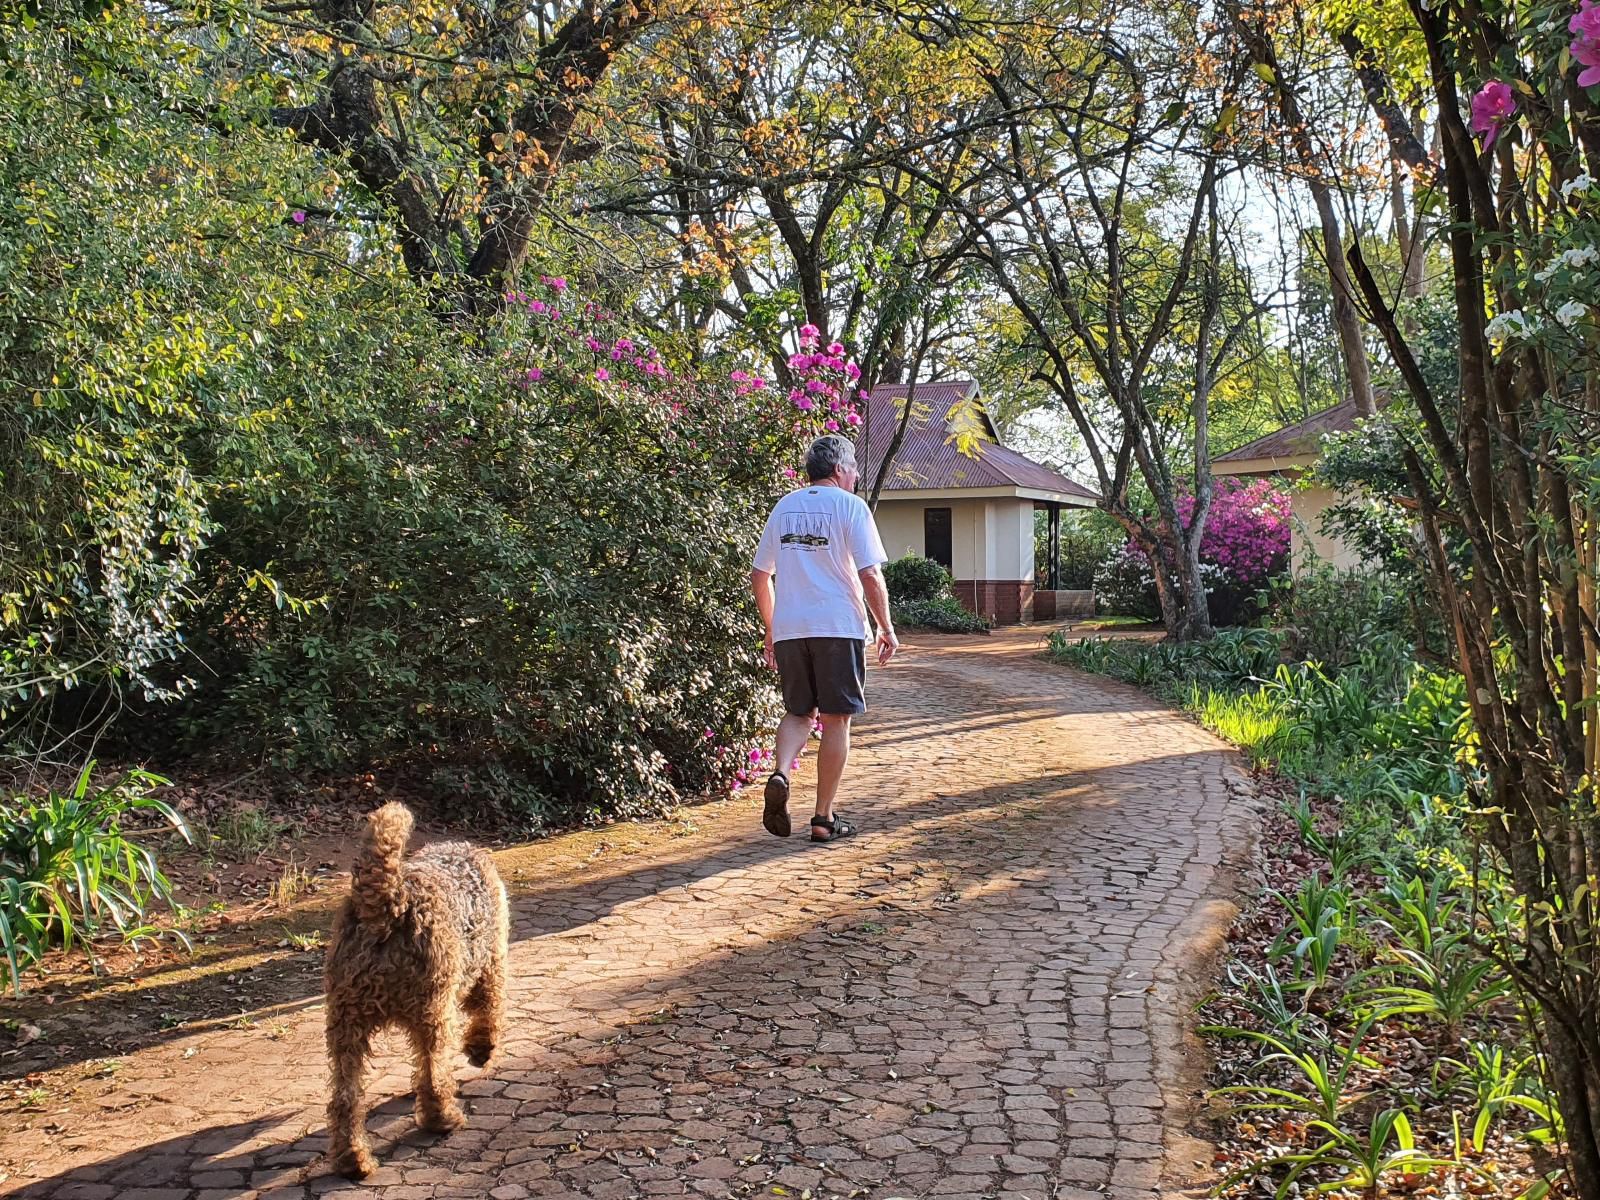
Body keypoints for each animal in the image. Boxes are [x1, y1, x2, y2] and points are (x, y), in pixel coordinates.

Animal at [320, 803, 505, 1177]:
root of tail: (389, 904)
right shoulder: (491, 961)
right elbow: (486, 1009)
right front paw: (482, 1049)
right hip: (431, 1011)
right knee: (433, 1074)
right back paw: (442, 1119)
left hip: (346, 1021)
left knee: (345, 1099)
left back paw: (353, 1158)